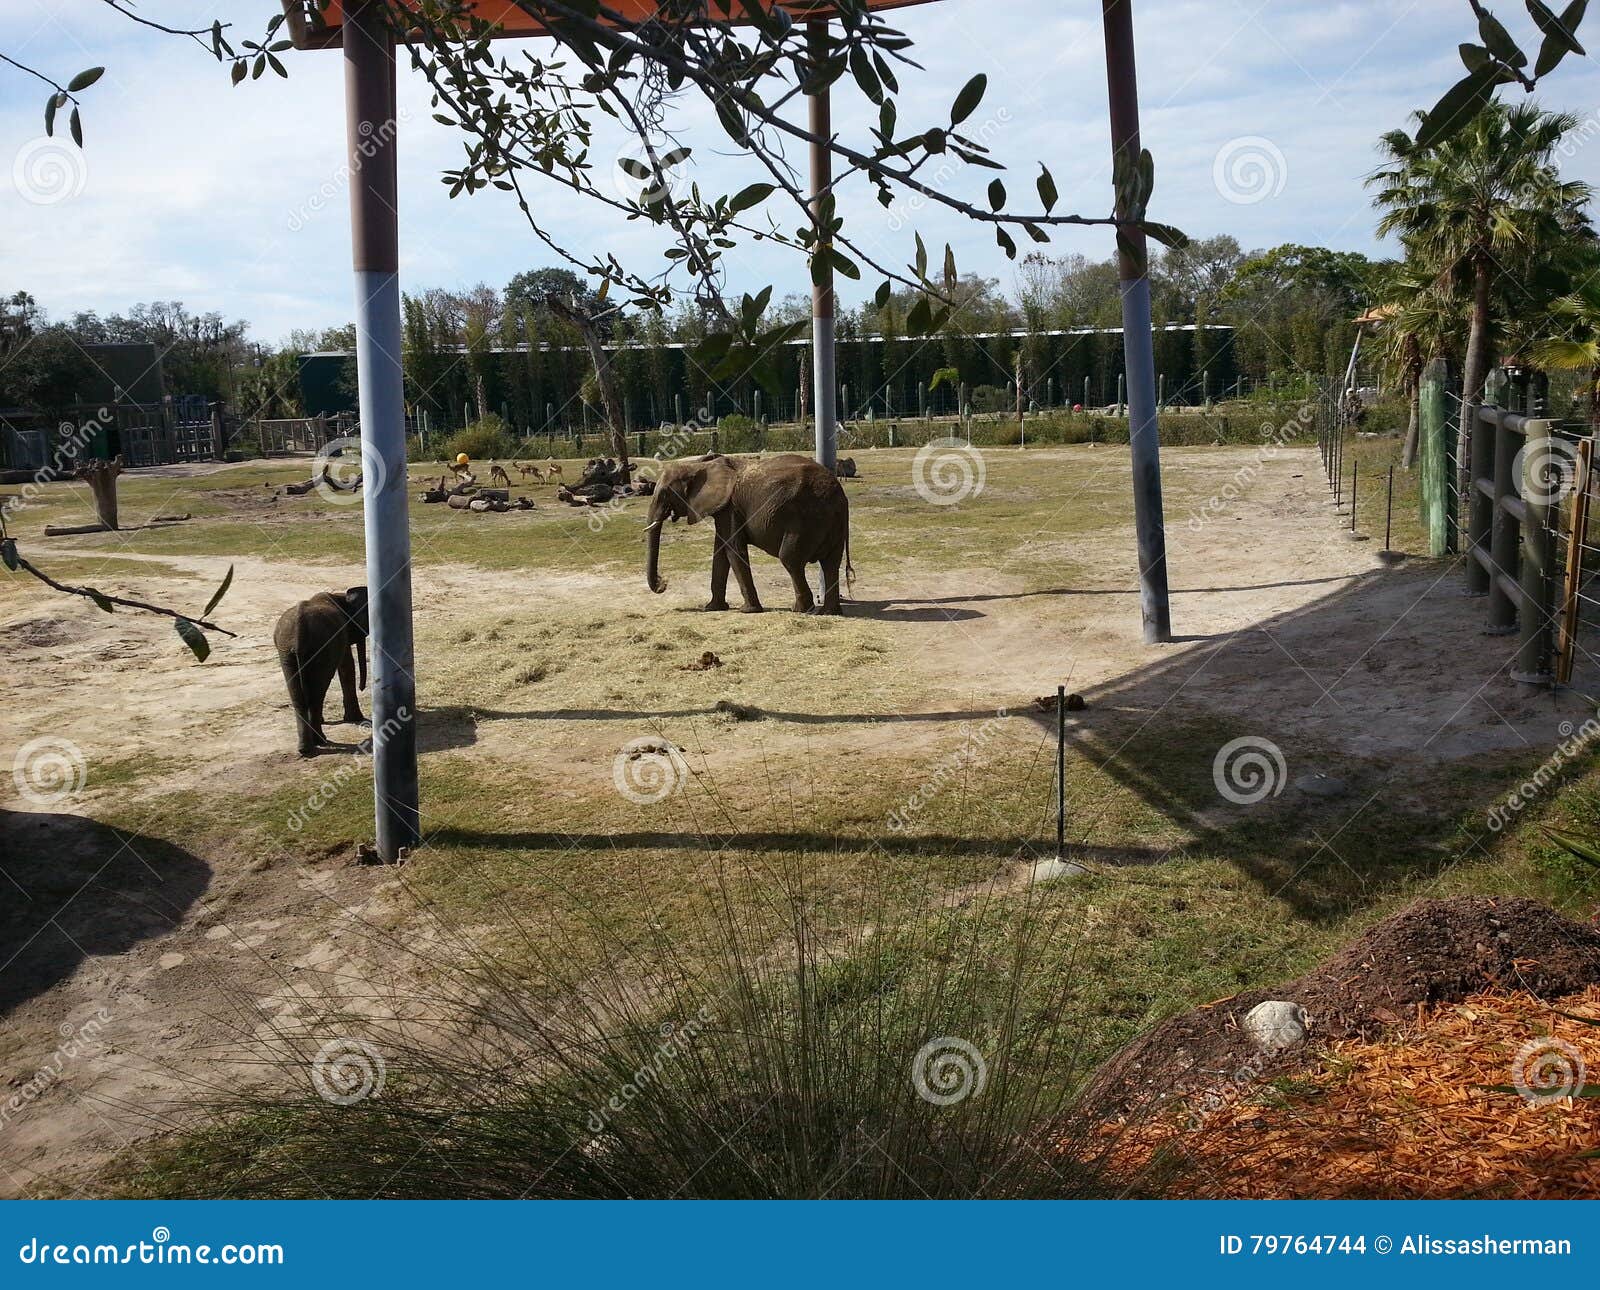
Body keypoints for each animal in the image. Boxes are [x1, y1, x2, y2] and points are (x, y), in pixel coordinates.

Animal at [274, 587, 369, 756]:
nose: (362, 687)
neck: (341, 596)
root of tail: (299, 633)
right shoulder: (342, 634)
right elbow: (346, 667)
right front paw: (355, 719)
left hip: (287, 653)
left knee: (301, 698)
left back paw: (306, 749)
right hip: (318, 648)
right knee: (316, 695)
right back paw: (319, 741)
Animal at [644, 453, 852, 615]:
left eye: (664, 493)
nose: (663, 583)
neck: (699, 465)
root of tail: (840, 496)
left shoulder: (730, 508)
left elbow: (732, 550)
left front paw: (748, 611)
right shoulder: (725, 509)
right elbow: (720, 551)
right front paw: (712, 608)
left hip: (806, 520)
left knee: (790, 559)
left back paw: (800, 609)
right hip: (831, 524)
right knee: (831, 563)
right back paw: (830, 612)